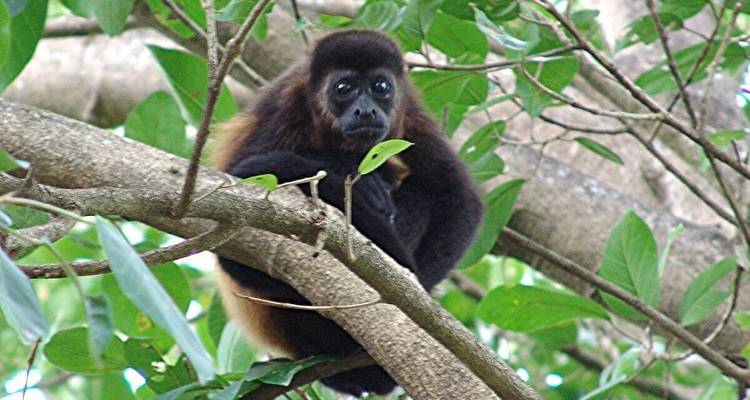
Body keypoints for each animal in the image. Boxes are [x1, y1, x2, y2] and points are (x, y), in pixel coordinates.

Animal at [212, 30, 483, 397]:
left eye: (381, 86)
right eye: (344, 88)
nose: (365, 110)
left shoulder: (411, 113)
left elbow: (457, 195)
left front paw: (416, 295)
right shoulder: (284, 107)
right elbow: (242, 175)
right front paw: (350, 173)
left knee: (424, 190)